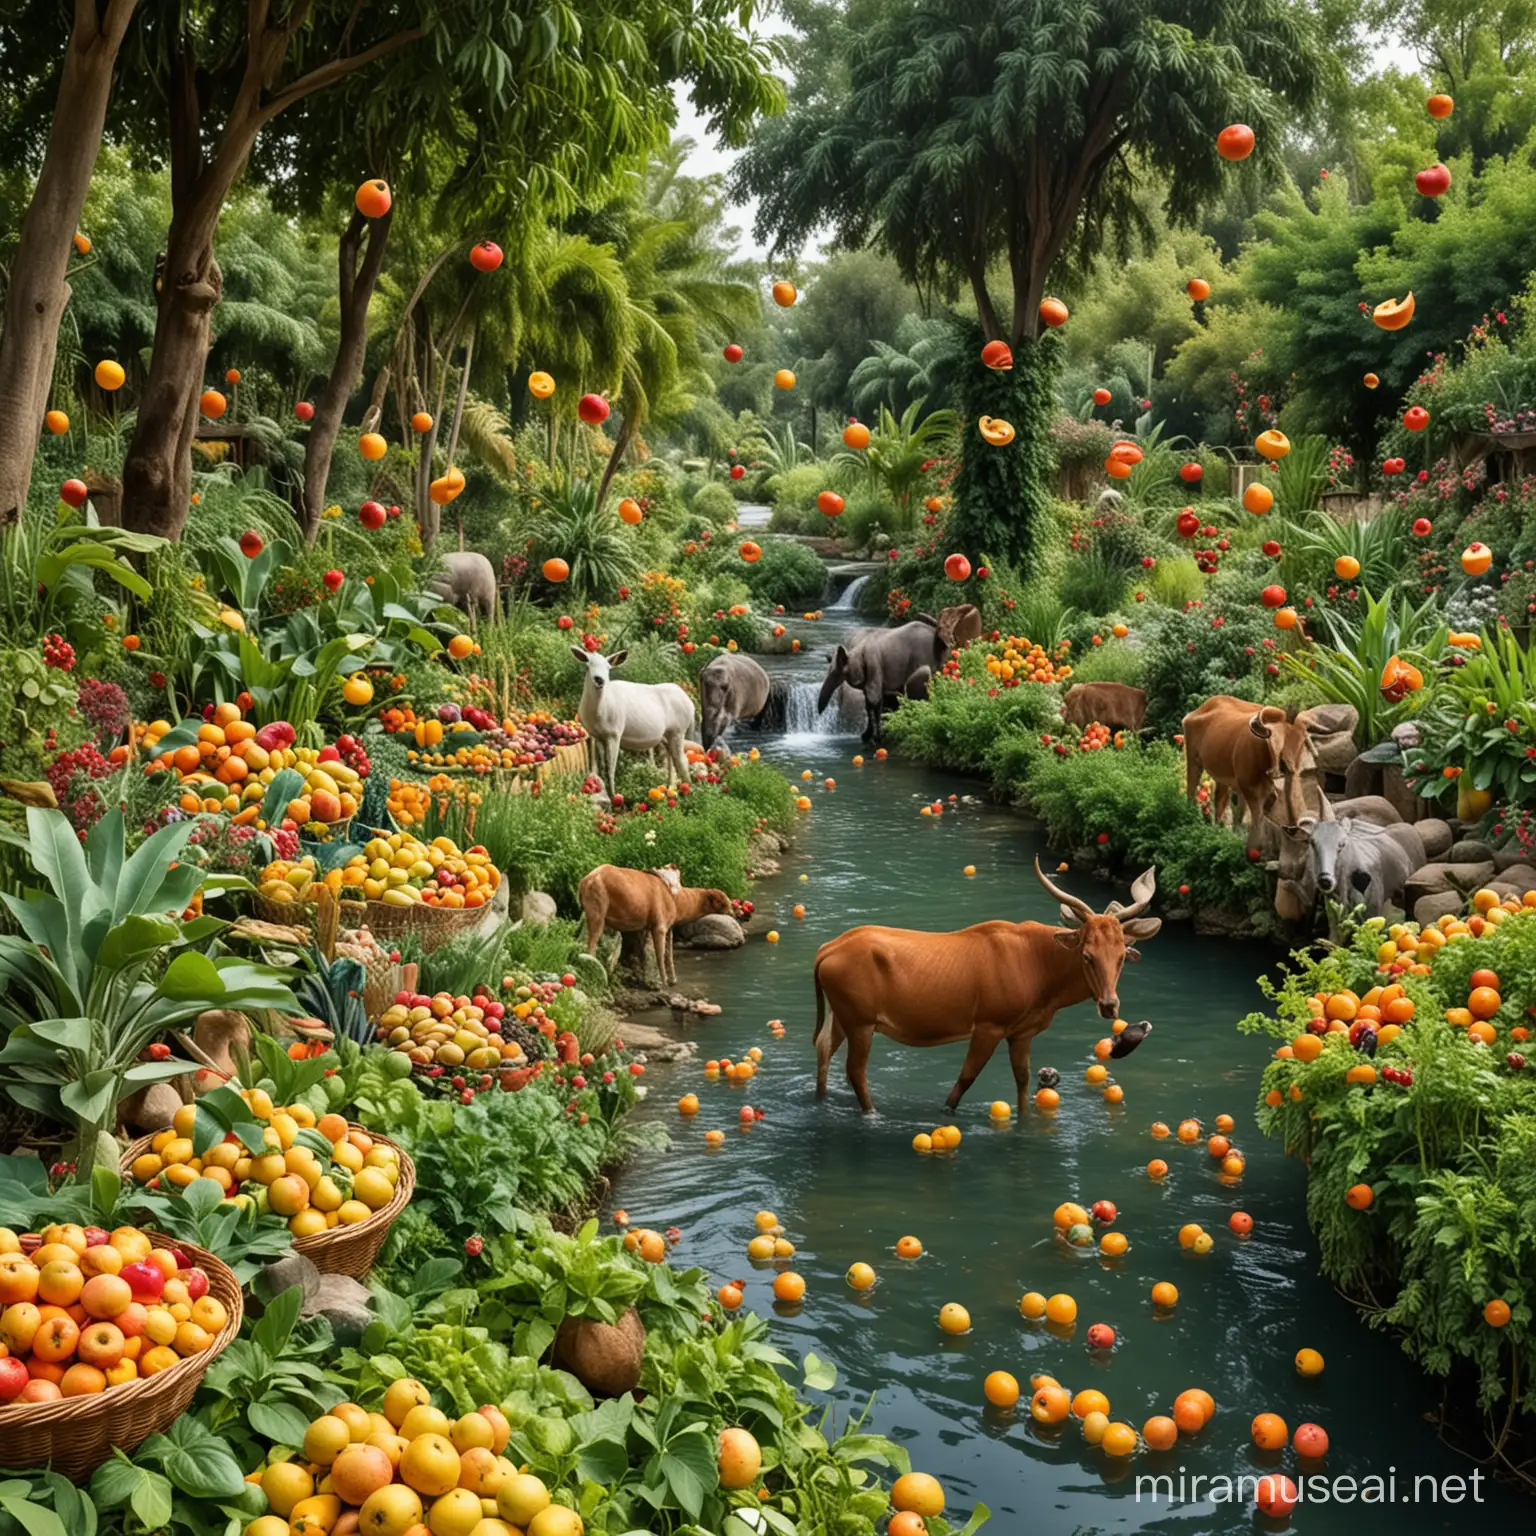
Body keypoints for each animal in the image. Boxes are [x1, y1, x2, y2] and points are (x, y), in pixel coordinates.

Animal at [580, 866, 737, 983]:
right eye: (724, 901)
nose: (734, 911)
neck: (676, 899)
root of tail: (586, 880)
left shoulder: (656, 927)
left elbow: (664, 954)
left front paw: (668, 980)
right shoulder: (659, 925)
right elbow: (660, 954)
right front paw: (663, 981)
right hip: (598, 906)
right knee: (591, 944)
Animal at [811, 860, 1155, 1112]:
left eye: (1122, 955)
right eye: (1087, 954)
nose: (1109, 1005)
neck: (1043, 981)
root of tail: (826, 950)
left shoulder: (1021, 1032)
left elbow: (1022, 1081)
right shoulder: (990, 1023)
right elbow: (965, 1080)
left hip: (843, 1014)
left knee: (823, 1048)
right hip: (860, 1020)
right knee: (855, 1070)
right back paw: (872, 1113)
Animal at [1185, 697, 1320, 854]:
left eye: (1303, 742)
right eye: (1276, 743)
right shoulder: (1248, 782)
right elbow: (1257, 810)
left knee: (1221, 798)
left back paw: (1219, 829)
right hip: (1193, 757)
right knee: (1192, 786)